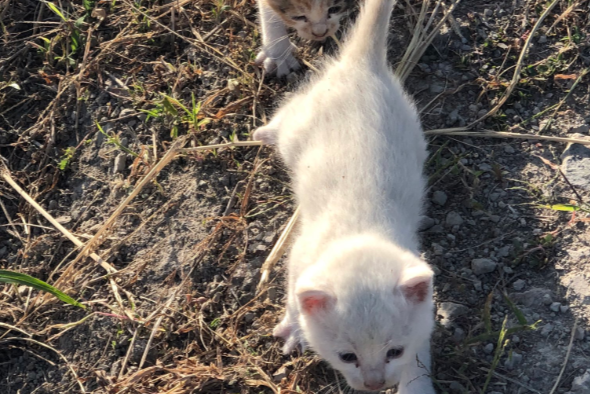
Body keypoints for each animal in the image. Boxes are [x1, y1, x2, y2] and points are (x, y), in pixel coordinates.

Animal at [252, 0, 438, 390]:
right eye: (346, 356)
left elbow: (420, 356)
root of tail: (361, 65)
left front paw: (416, 386)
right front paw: (295, 329)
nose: (374, 384)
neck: (362, 230)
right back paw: (264, 132)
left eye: (394, 351)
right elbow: (293, 296)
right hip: (299, 124)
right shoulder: (300, 258)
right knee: (286, 114)